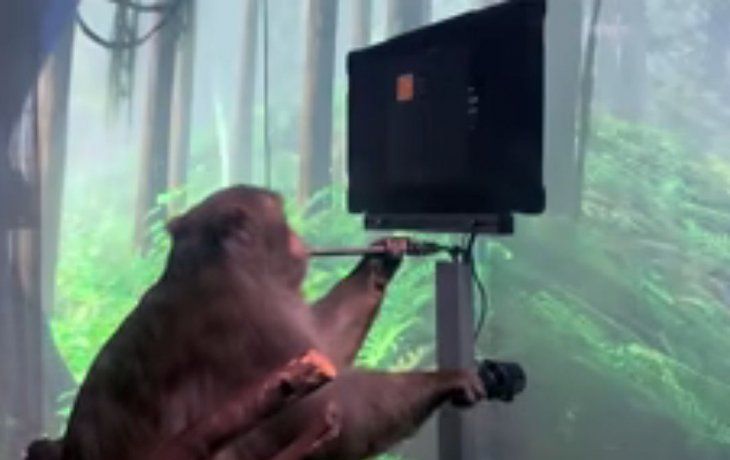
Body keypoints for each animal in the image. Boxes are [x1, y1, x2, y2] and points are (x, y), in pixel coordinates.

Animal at [29, 185, 486, 460]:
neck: (216, 263)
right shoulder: (248, 314)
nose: (301, 239)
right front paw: (448, 378)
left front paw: (382, 259)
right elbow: (338, 401)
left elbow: (326, 346)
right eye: (283, 223)